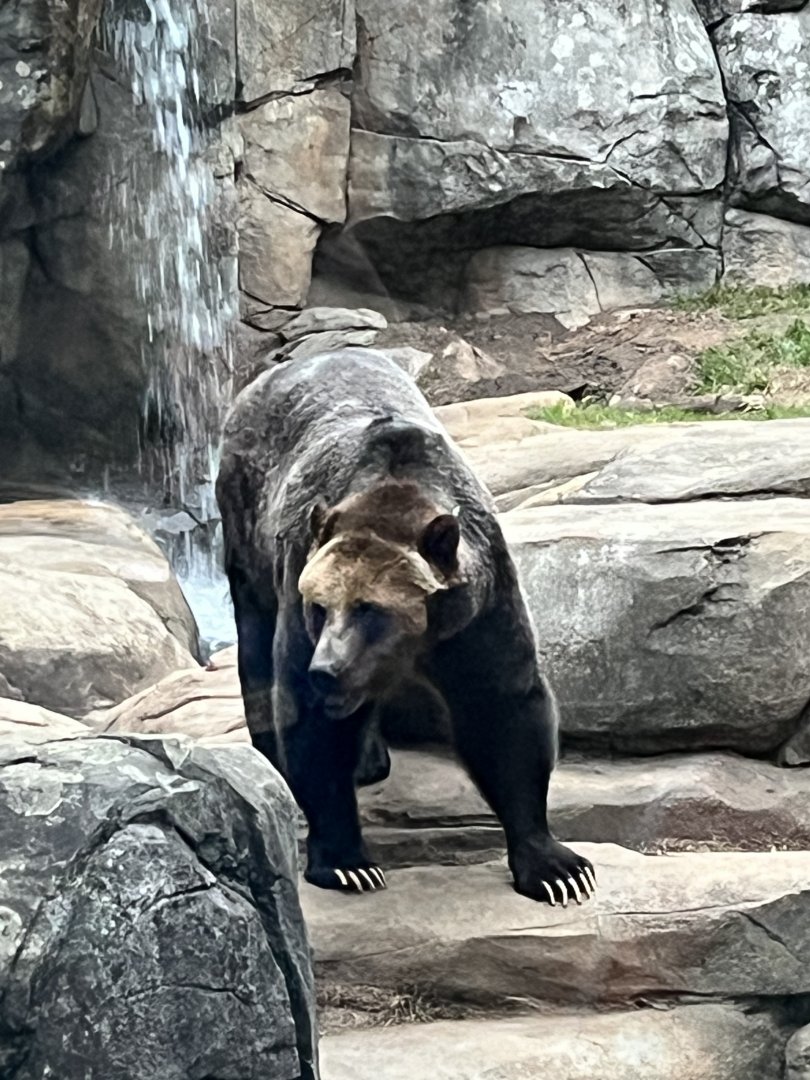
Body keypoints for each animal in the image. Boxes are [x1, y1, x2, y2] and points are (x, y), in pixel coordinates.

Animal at [216, 347, 595, 906]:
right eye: (319, 606)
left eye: (369, 608)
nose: (327, 669)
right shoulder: (298, 580)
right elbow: (313, 726)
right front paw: (348, 864)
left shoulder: (480, 611)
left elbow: (504, 710)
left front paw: (557, 869)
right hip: (248, 526)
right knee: (256, 646)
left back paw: (370, 757)